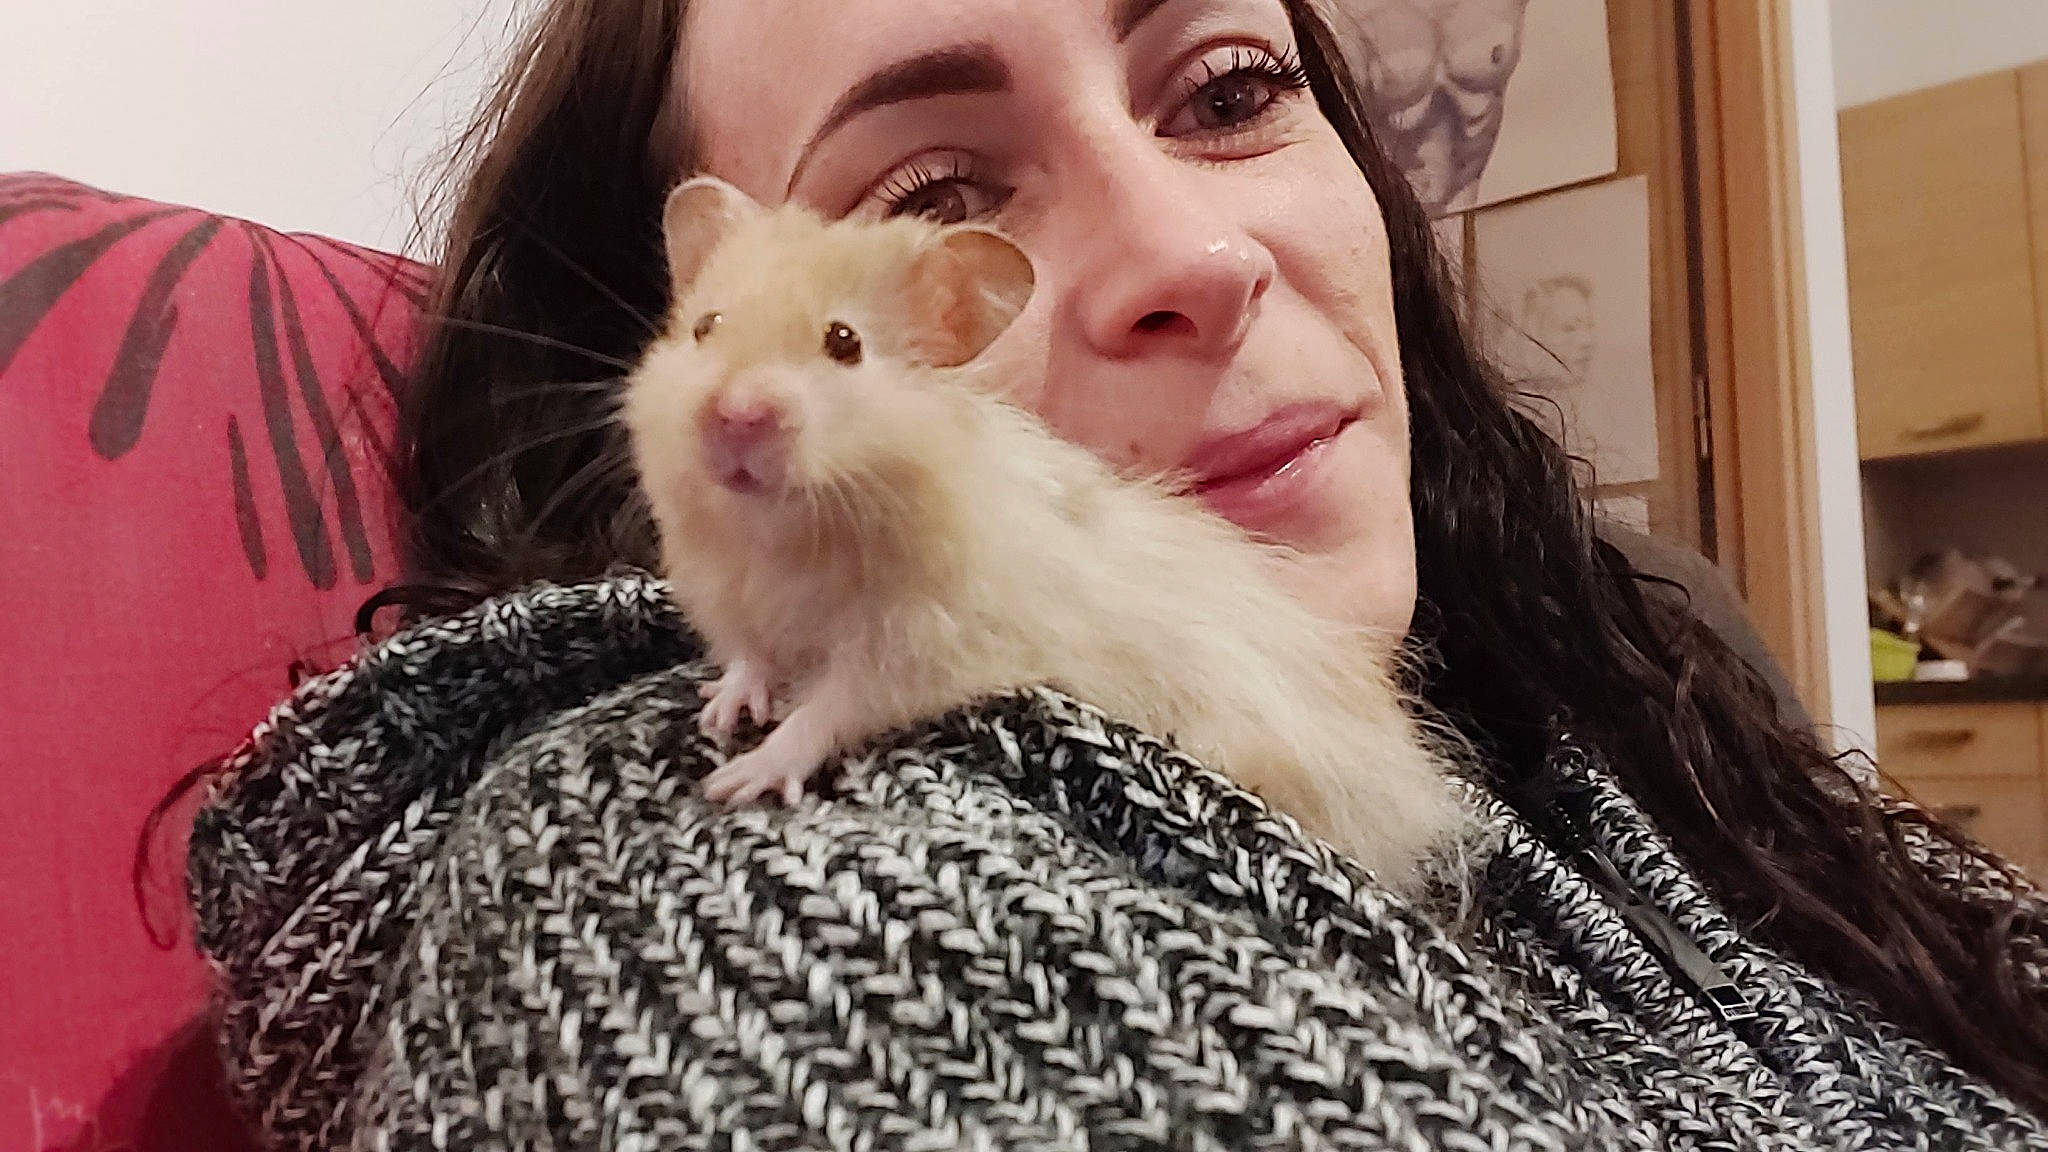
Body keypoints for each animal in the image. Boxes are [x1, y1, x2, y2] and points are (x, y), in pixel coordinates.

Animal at [622, 176, 1467, 884]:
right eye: (705, 328)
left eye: (844, 343)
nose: (733, 418)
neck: (787, 537)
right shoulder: (735, 598)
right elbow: (751, 658)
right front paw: (721, 708)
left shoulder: (923, 640)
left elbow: (830, 708)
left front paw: (740, 776)